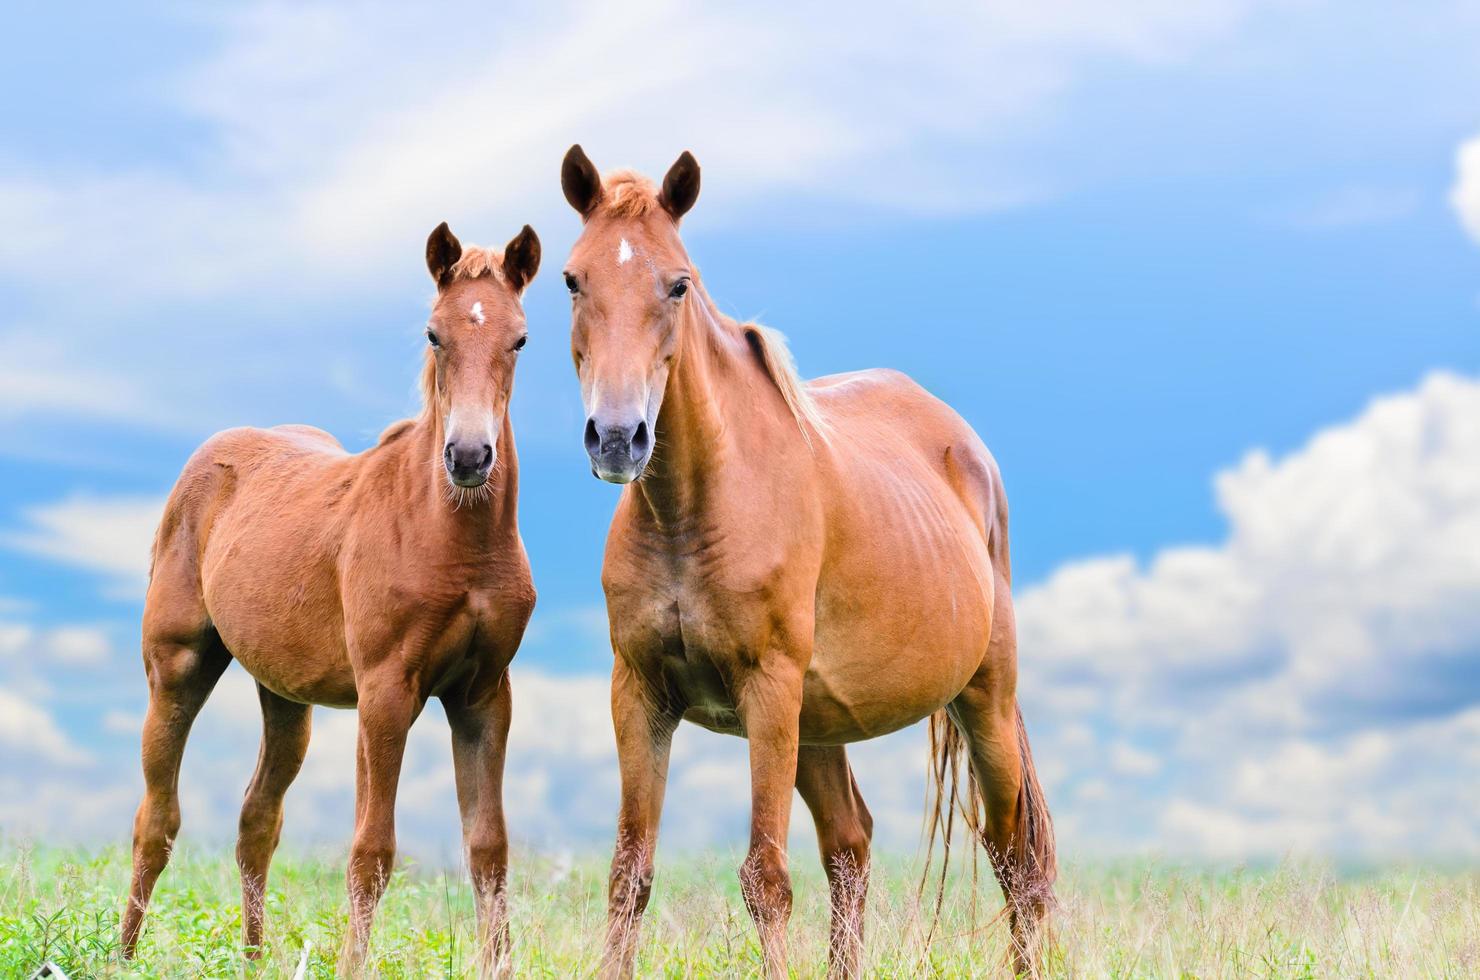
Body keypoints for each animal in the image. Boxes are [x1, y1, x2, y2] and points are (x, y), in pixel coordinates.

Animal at [119, 220, 538, 977]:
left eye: (519, 338)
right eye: (434, 334)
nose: (468, 457)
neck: (454, 537)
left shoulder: (485, 694)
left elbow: (489, 849)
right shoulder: (386, 692)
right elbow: (372, 850)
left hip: (285, 695)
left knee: (257, 820)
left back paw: (255, 960)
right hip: (177, 668)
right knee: (156, 820)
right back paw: (123, 956)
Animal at [559, 148, 1059, 980]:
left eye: (678, 283)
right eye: (572, 279)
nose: (619, 438)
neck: (694, 507)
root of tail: (967, 447)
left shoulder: (768, 690)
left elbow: (765, 879)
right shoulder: (640, 695)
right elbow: (629, 875)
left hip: (981, 700)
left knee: (1015, 856)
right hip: (819, 724)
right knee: (852, 849)